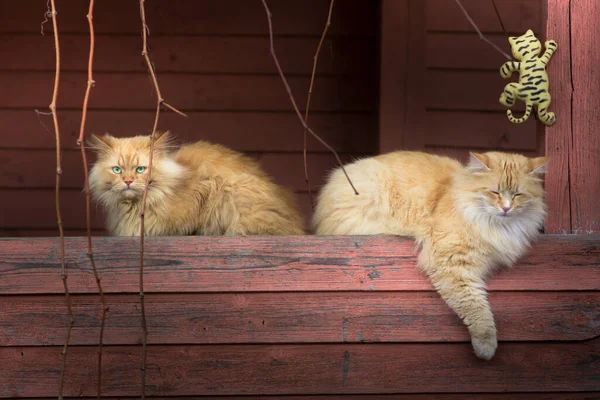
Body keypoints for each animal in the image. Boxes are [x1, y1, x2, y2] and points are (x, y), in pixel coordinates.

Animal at [312, 150, 552, 360]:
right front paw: (486, 347)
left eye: (518, 195)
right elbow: (476, 307)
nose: (506, 208)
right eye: (494, 192)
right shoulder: (451, 262)